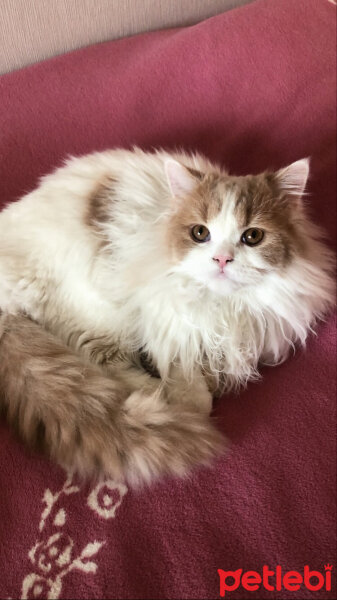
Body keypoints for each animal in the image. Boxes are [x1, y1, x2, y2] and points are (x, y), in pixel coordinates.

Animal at [0, 148, 334, 486]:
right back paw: (157, 398)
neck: (225, 305)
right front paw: (193, 398)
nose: (222, 259)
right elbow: (190, 381)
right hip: (96, 306)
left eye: (252, 236)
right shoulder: (167, 322)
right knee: (102, 361)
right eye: (200, 233)